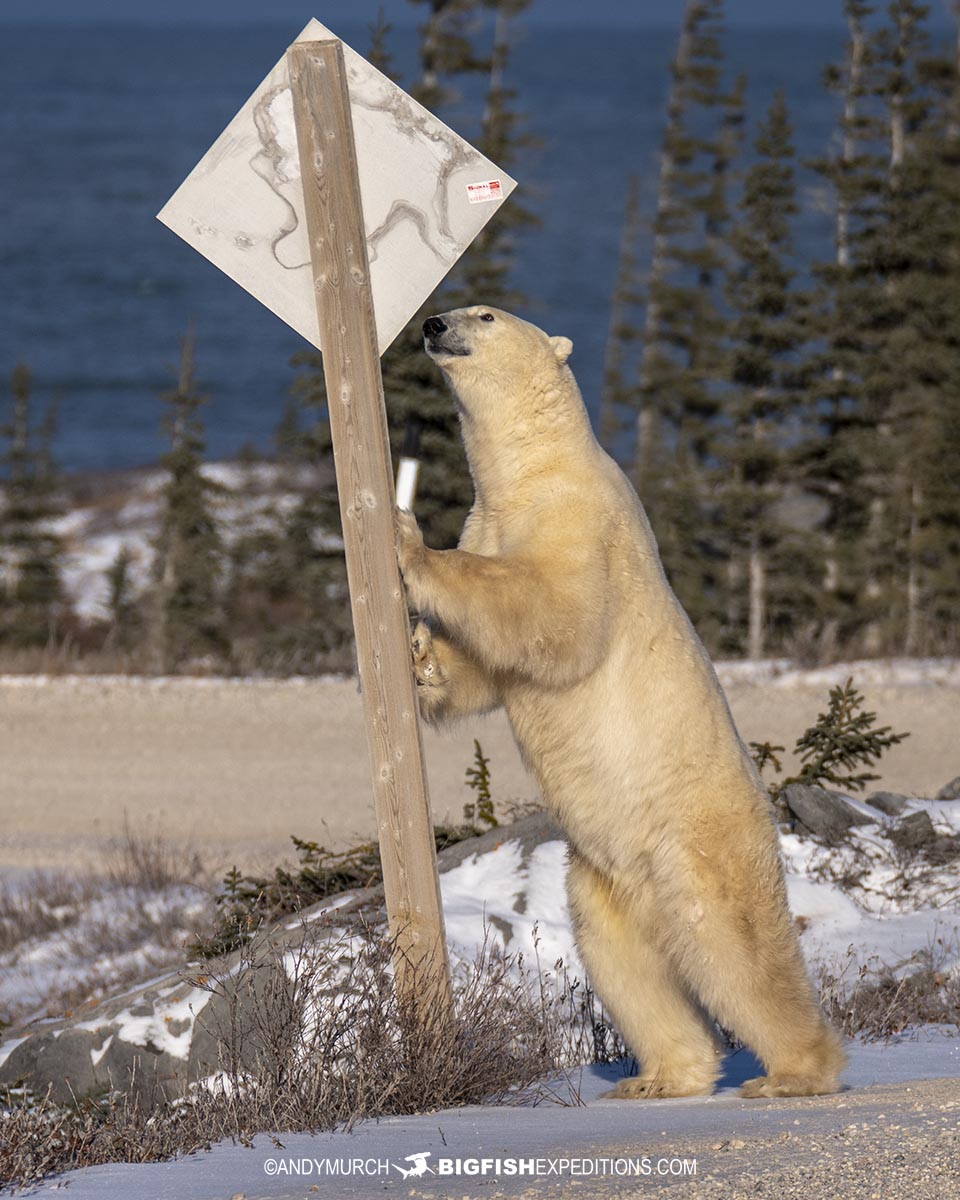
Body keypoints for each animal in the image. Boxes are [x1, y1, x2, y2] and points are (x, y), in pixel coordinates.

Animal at [394, 305, 845, 1100]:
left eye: (486, 313)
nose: (434, 323)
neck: (535, 469)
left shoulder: (581, 521)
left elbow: (550, 611)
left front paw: (411, 545)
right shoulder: (494, 516)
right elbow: (488, 668)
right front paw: (422, 658)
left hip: (697, 845)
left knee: (735, 947)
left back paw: (791, 1074)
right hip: (602, 878)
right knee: (626, 967)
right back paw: (661, 1077)